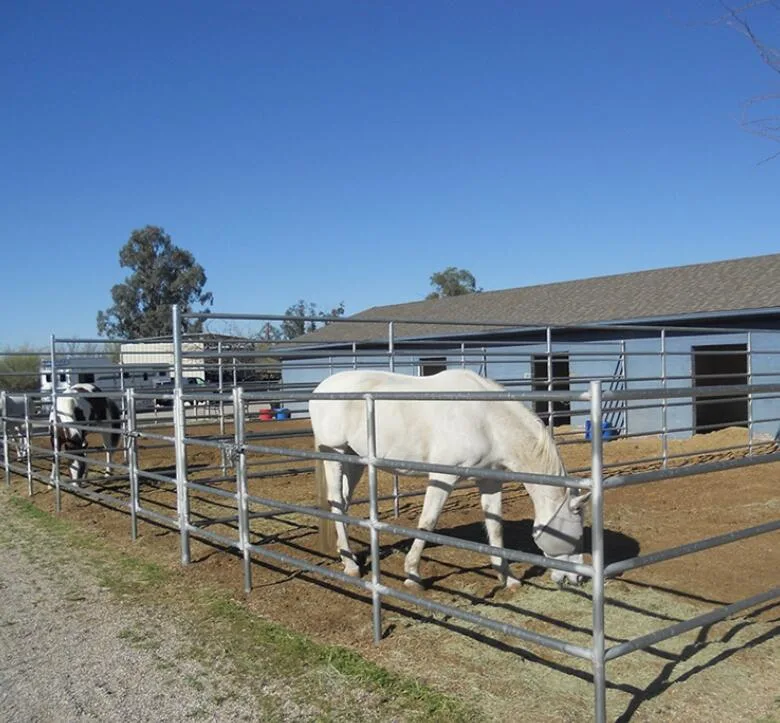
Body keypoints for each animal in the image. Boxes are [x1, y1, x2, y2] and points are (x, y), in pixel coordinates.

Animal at [308, 370, 588, 592]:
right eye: (577, 535)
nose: (577, 579)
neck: (487, 420)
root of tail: (320, 389)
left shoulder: (489, 480)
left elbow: (495, 527)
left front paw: (508, 578)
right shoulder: (443, 476)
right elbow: (427, 521)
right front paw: (412, 575)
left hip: (355, 458)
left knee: (344, 503)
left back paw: (347, 555)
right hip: (335, 453)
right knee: (337, 503)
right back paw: (350, 565)